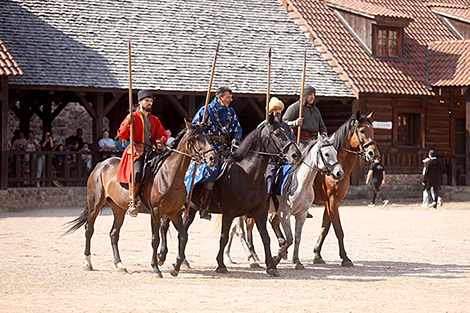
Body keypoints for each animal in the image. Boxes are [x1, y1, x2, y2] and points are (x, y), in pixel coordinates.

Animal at [65, 120, 218, 276]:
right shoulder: (156, 212)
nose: (213, 158)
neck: (170, 174)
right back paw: (88, 262)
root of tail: (100, 165)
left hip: (118, 209)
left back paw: (120, 265)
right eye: (196, 138)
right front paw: (156, 268)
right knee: (89, 229)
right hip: (95, 204)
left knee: (114, 234)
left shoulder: (174, 212)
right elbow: (155, 239)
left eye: (208, 137)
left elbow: (183, 236)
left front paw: (175, 267)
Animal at [158, 113, 302, 274]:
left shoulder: (259, 211)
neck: (248, 174)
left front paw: (271, 266)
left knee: (182, 230)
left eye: (287, 131)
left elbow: (265, 237)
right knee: (164, 224)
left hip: (191, 209)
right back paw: (162, 256)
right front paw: (221, 264)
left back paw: (182, 261)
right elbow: (224, 237)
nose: (296, 155)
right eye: (277, 133)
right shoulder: (229, 212)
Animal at [314, 109, 380, 266]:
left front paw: (317, 255)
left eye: (373, 131)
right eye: (361, 130)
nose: (373, 153)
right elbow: (338, 230)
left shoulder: (332, 202)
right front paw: (345, 258)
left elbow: (325, 228)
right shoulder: (332, 201)